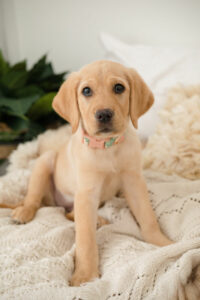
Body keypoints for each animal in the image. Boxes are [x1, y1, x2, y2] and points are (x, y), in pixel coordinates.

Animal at [1, 60, 172, 286]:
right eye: (86, 91)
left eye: (119, 88)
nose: (104, 114)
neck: (108, 147)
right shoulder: (86, 193)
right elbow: (85, 240)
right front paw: (85, 275)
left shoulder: (134, 182)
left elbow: (148, 217)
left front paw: (163, 243)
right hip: (45, 162)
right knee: (34, 199)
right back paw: (24, 212)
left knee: (69, 214)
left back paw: (97, 220)